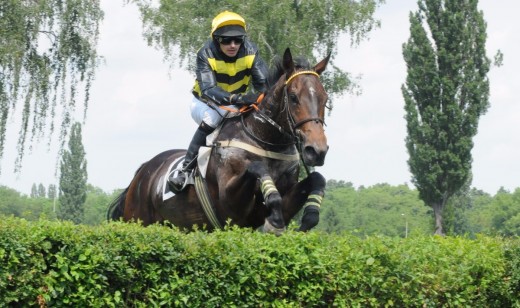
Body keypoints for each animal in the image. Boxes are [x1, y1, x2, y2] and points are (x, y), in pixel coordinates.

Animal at [107, 48, 332, 233]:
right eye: (293, 97)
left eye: (325, 98)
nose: (316, 150)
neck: (264, 139)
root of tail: (143, 171)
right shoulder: (232, 205)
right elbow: (257, 167)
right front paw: (275, 220)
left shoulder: (262, 211)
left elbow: (317, 178)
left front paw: (310, 216)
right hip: (137, 219)